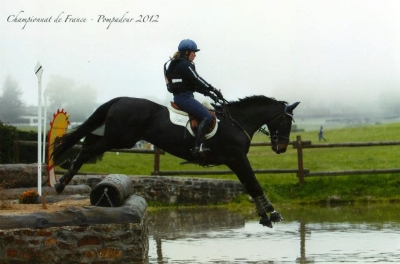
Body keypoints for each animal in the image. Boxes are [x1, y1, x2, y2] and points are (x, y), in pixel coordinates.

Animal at [52, 96, 296, 228]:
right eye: (286, 122)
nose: (282, 148)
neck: (237, 122)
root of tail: (120, 99)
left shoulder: (235, 161)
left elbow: (249, 185)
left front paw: (264, 215)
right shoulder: (237, 158)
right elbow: (254, 184)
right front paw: (272, 213)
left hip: (108, 135)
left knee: (85, 145)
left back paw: (63, 174)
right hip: (118, 138)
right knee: (86, 152)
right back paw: (61, 182)